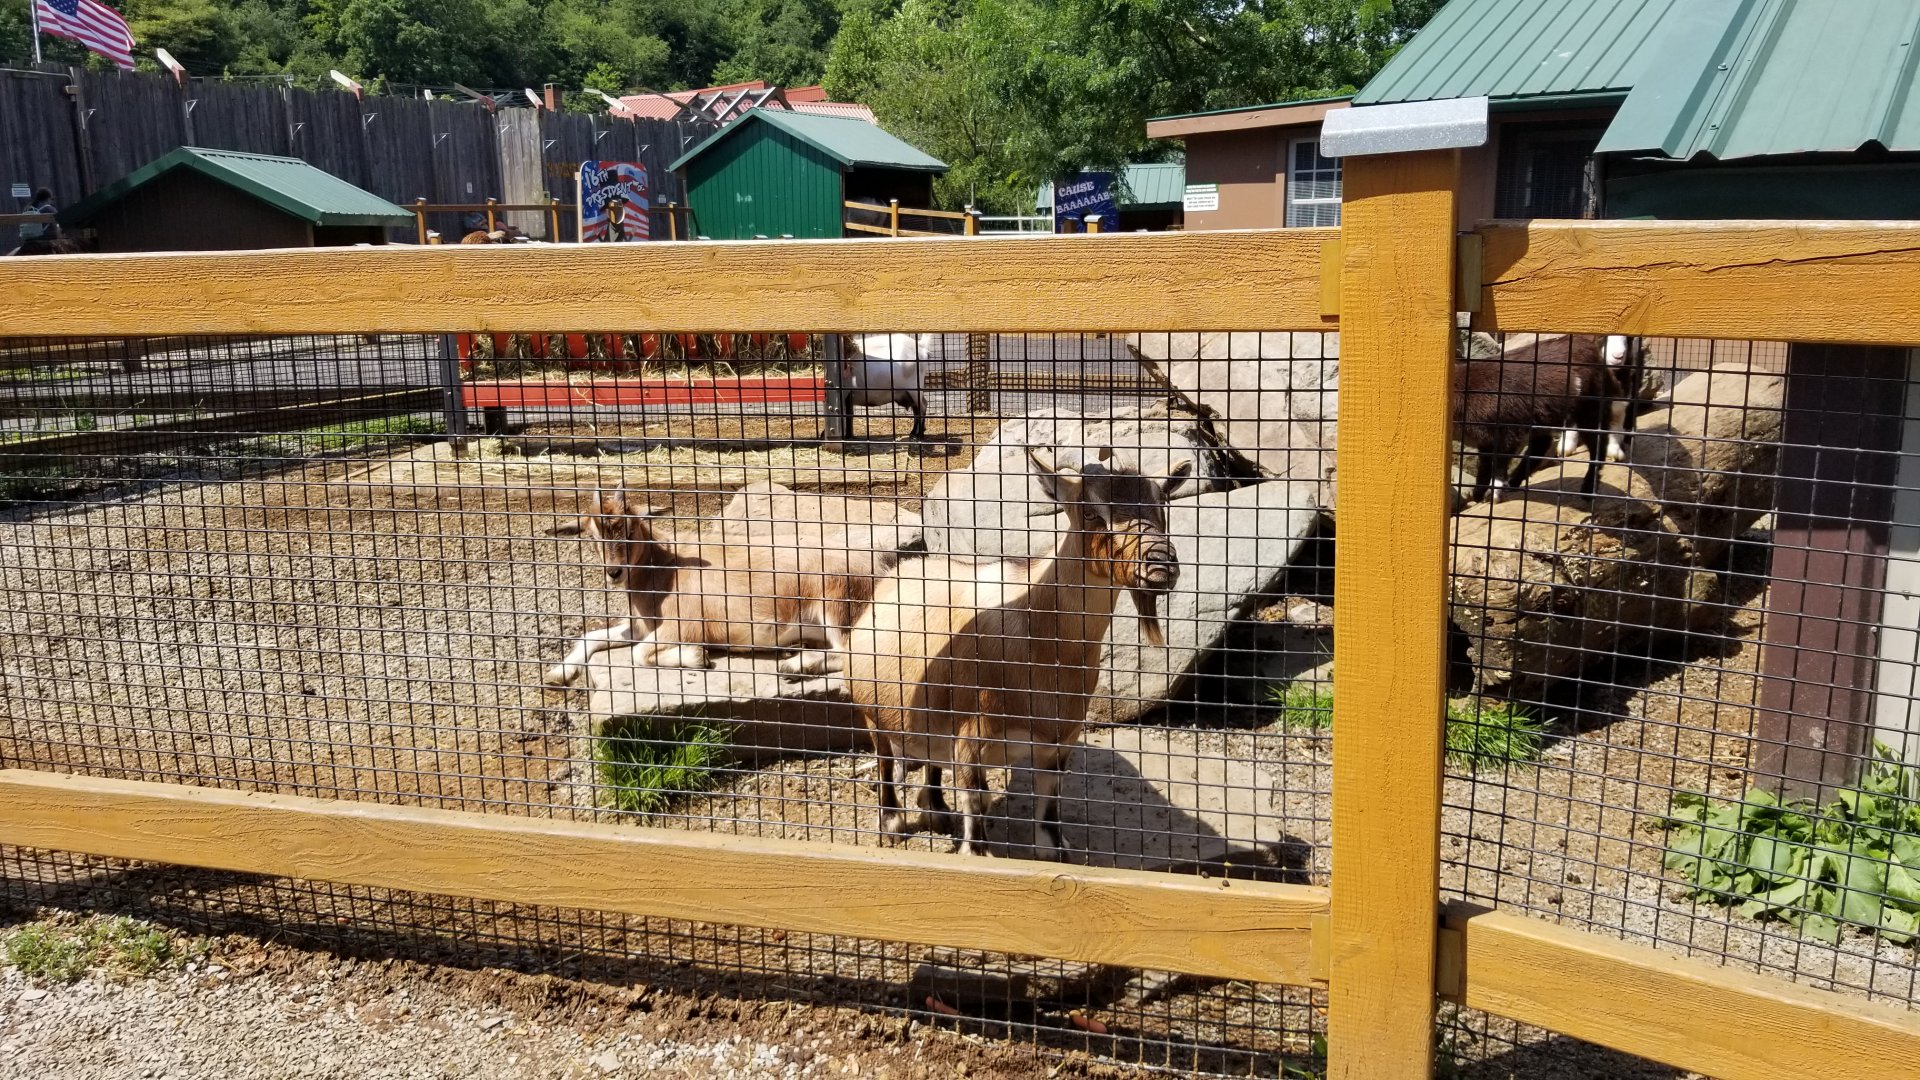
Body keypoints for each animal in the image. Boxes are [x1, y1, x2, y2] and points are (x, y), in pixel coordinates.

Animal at [544, 487, 896, 686]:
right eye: (591, 537)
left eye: (631, 530)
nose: (614, 572)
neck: (665, 567)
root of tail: (881, 571)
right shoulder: (640, 626)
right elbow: (591, 636)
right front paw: (558, 673)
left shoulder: (682, 625)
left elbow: (640, 653)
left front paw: (696, 657)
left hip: (839, 607)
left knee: (854, 655)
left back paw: (794, 665)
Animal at [846, 447, 1189, 859]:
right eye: (1091, 512)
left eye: (1162, 504)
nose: (1161, 564)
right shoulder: (972, 739)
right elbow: (976, 800)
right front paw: (975, 851)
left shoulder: (1060, 740)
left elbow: (1050, 804)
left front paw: (1054, 849)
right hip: (872, 712)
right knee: (885, 761)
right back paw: (892, 824)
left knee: (929, 758)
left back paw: (937, 811)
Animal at [1455, 332, 1625, 503]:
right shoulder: (1485, 439)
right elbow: (1484, 464)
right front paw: (1478, 493)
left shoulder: (1506, 428)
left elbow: (1499, 460)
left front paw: (1493, 495)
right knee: (1541, 445)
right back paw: (1514, 482)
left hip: (1589, 408)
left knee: (1597, 444)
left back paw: (1588, 490)